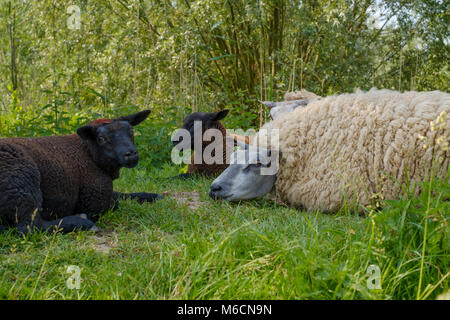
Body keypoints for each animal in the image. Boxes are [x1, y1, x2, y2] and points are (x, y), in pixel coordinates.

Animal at [0, 110, 162, 235]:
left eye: (131, 131)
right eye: (101, 138)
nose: (131, 154)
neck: (88, 152)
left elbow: (126, 195)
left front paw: (154, 196)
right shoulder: (95, 197)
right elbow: (115, 203)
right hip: (23, 181)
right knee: (30, 227)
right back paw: (83, 222)